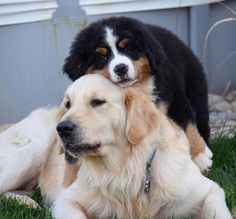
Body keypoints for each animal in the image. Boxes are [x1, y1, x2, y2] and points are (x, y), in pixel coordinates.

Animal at [62, 17, 212, 171]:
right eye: (101, 56)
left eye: (128, 49)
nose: (121, 68)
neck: (137, 86)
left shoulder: (174, 97)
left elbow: (188, 124)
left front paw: (201, 155)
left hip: (196, 91)